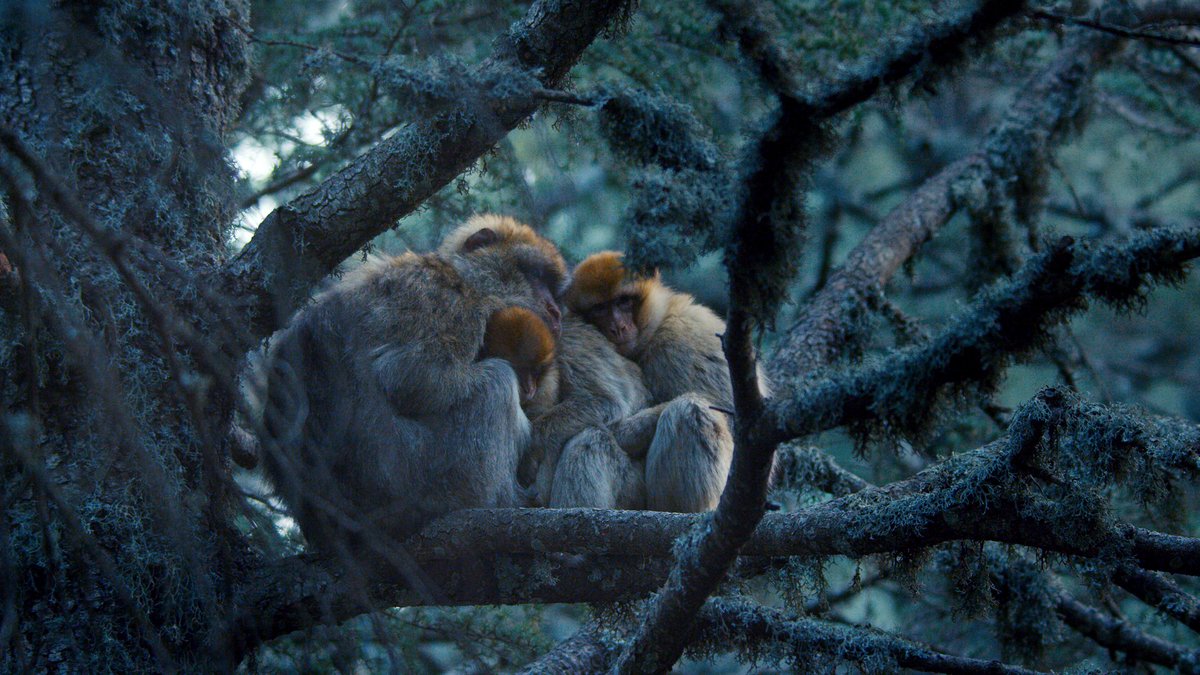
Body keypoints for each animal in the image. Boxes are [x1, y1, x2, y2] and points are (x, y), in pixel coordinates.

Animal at [259, 214, 568, 553]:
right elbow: (412, 379)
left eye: (553, 287)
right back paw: (505, 501)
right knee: (496, 383)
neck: (467, 279)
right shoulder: (449, 302)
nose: (555, 311)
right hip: (424, 481)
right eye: (535, 275)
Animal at [565, 251, 770, 512]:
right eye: (600, 308)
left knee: (688, 410)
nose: (618, 328)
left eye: (623, 301)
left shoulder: (681, 342)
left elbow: (733, 419)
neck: (652, 329)